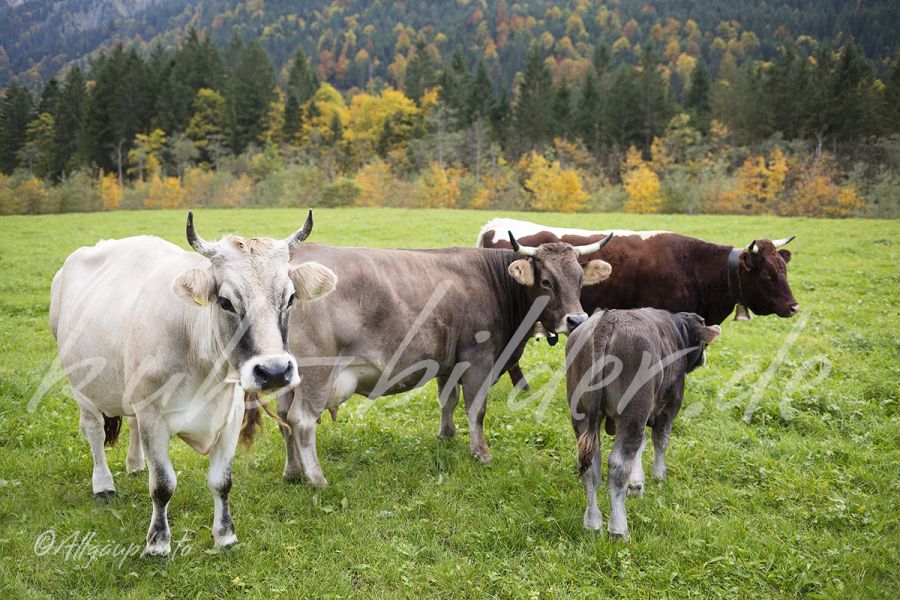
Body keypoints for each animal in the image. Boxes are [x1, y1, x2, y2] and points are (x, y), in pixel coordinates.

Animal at [243, 232, 616, 486]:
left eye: (580, 280)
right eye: (547, 281)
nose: (577, 320)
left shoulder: (448, 361)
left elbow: (447, 401)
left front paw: (446, 436)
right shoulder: (479, 360)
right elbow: (476, 408)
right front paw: (481, 453)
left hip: (288, 376)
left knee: (284, 418)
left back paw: (293, 472)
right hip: (317, 374)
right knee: (302, 421)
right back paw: (316, 478)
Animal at [568, 310, 720, 540]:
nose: (704, 358)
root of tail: (607, 320)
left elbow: (642, 445)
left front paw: (636, 484)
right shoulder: (670, 405)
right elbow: (660, 441)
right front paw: (658, 475)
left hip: (583, 415)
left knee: (591, 467)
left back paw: (592, 523)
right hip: (633, 412)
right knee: (618, 466)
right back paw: (618, 528)